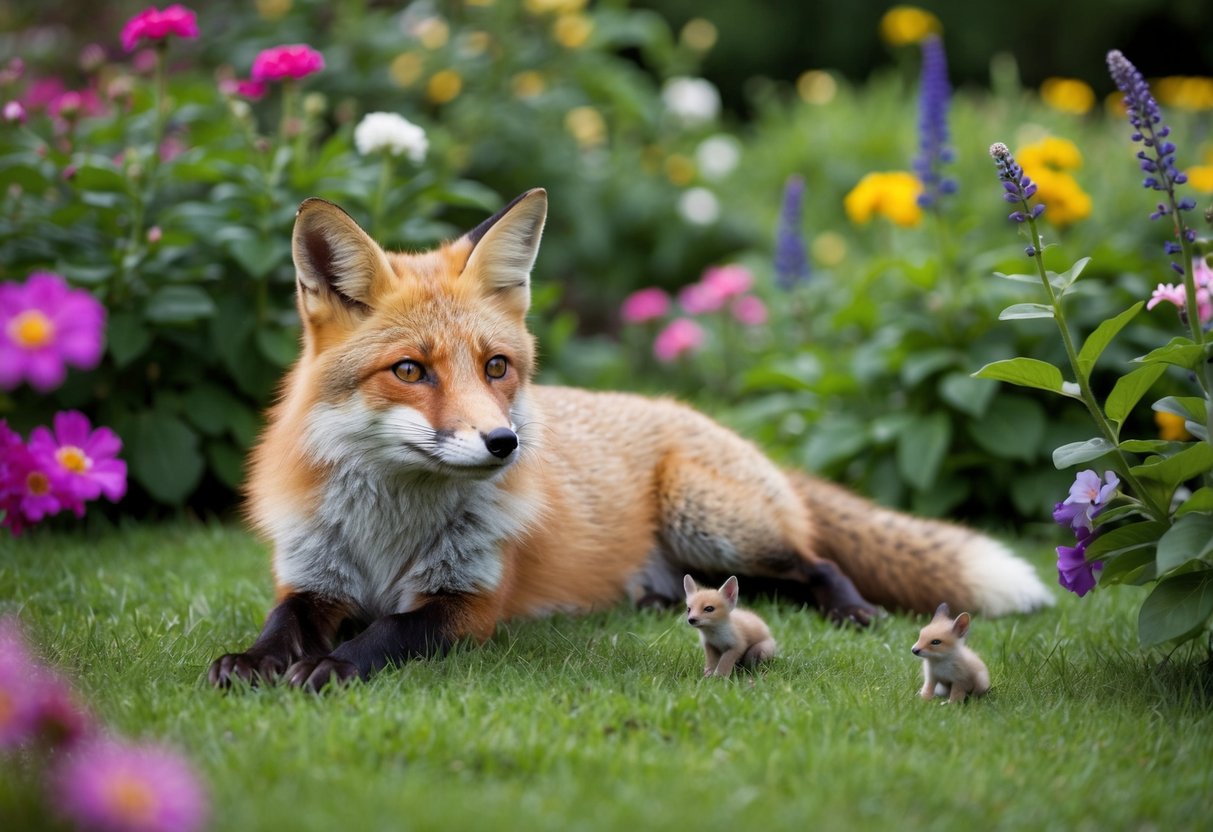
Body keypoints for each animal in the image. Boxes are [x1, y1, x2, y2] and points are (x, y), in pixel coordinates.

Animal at [208, 187, 1053, 691]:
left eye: (495, 366)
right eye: (410, 370)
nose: (502, 444)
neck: (388, 533)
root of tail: (687, 413)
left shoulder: (468, 603)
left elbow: (387, 633)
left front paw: (329, 667)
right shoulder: (313, 577)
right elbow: (284, 622)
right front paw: (253, 661)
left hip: (717, 522)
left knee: (815, 562)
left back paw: (852, 612)